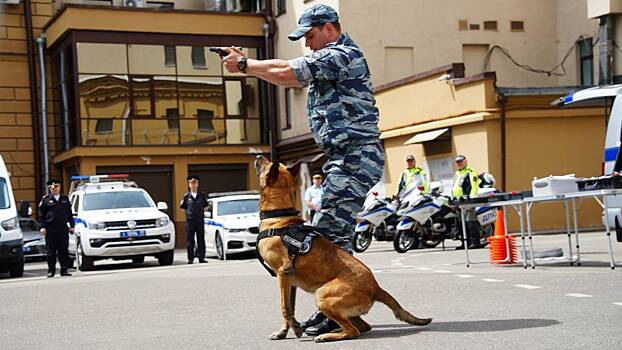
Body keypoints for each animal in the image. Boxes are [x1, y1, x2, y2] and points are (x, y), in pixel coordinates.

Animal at [255, 156, 434, 342]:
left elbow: (284, 307)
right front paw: (285, 331)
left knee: (353, 330)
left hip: (322, 295)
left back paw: (327, 335)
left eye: (265, 164)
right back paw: (334, 329)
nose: (259, 157)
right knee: (363, 326)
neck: (279, 218)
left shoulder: (283, 274)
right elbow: (290, 307)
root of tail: (375, 287)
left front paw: (293, 329)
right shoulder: (290, 282)